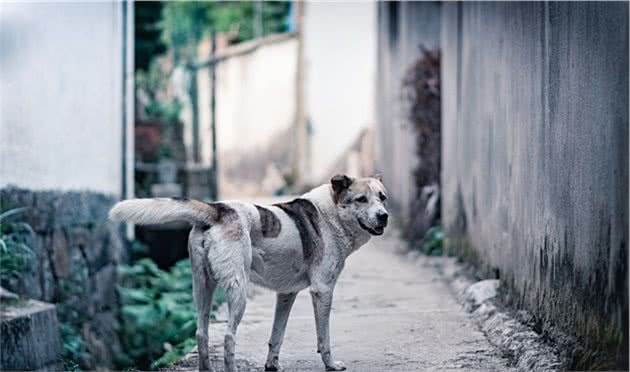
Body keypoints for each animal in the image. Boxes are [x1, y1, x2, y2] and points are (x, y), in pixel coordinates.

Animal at [111, 175, 392, 372]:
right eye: (361, 199)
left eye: (382, 197)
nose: (384, 216)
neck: (331, 214)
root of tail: (219, 209)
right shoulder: (322, 290)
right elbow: (324, 339)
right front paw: (331, 365)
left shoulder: (286, 294)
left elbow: (276, 336)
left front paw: (272, 365)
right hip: (238, 290)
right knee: (228, 337)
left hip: (203, 288)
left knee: (201, 333)